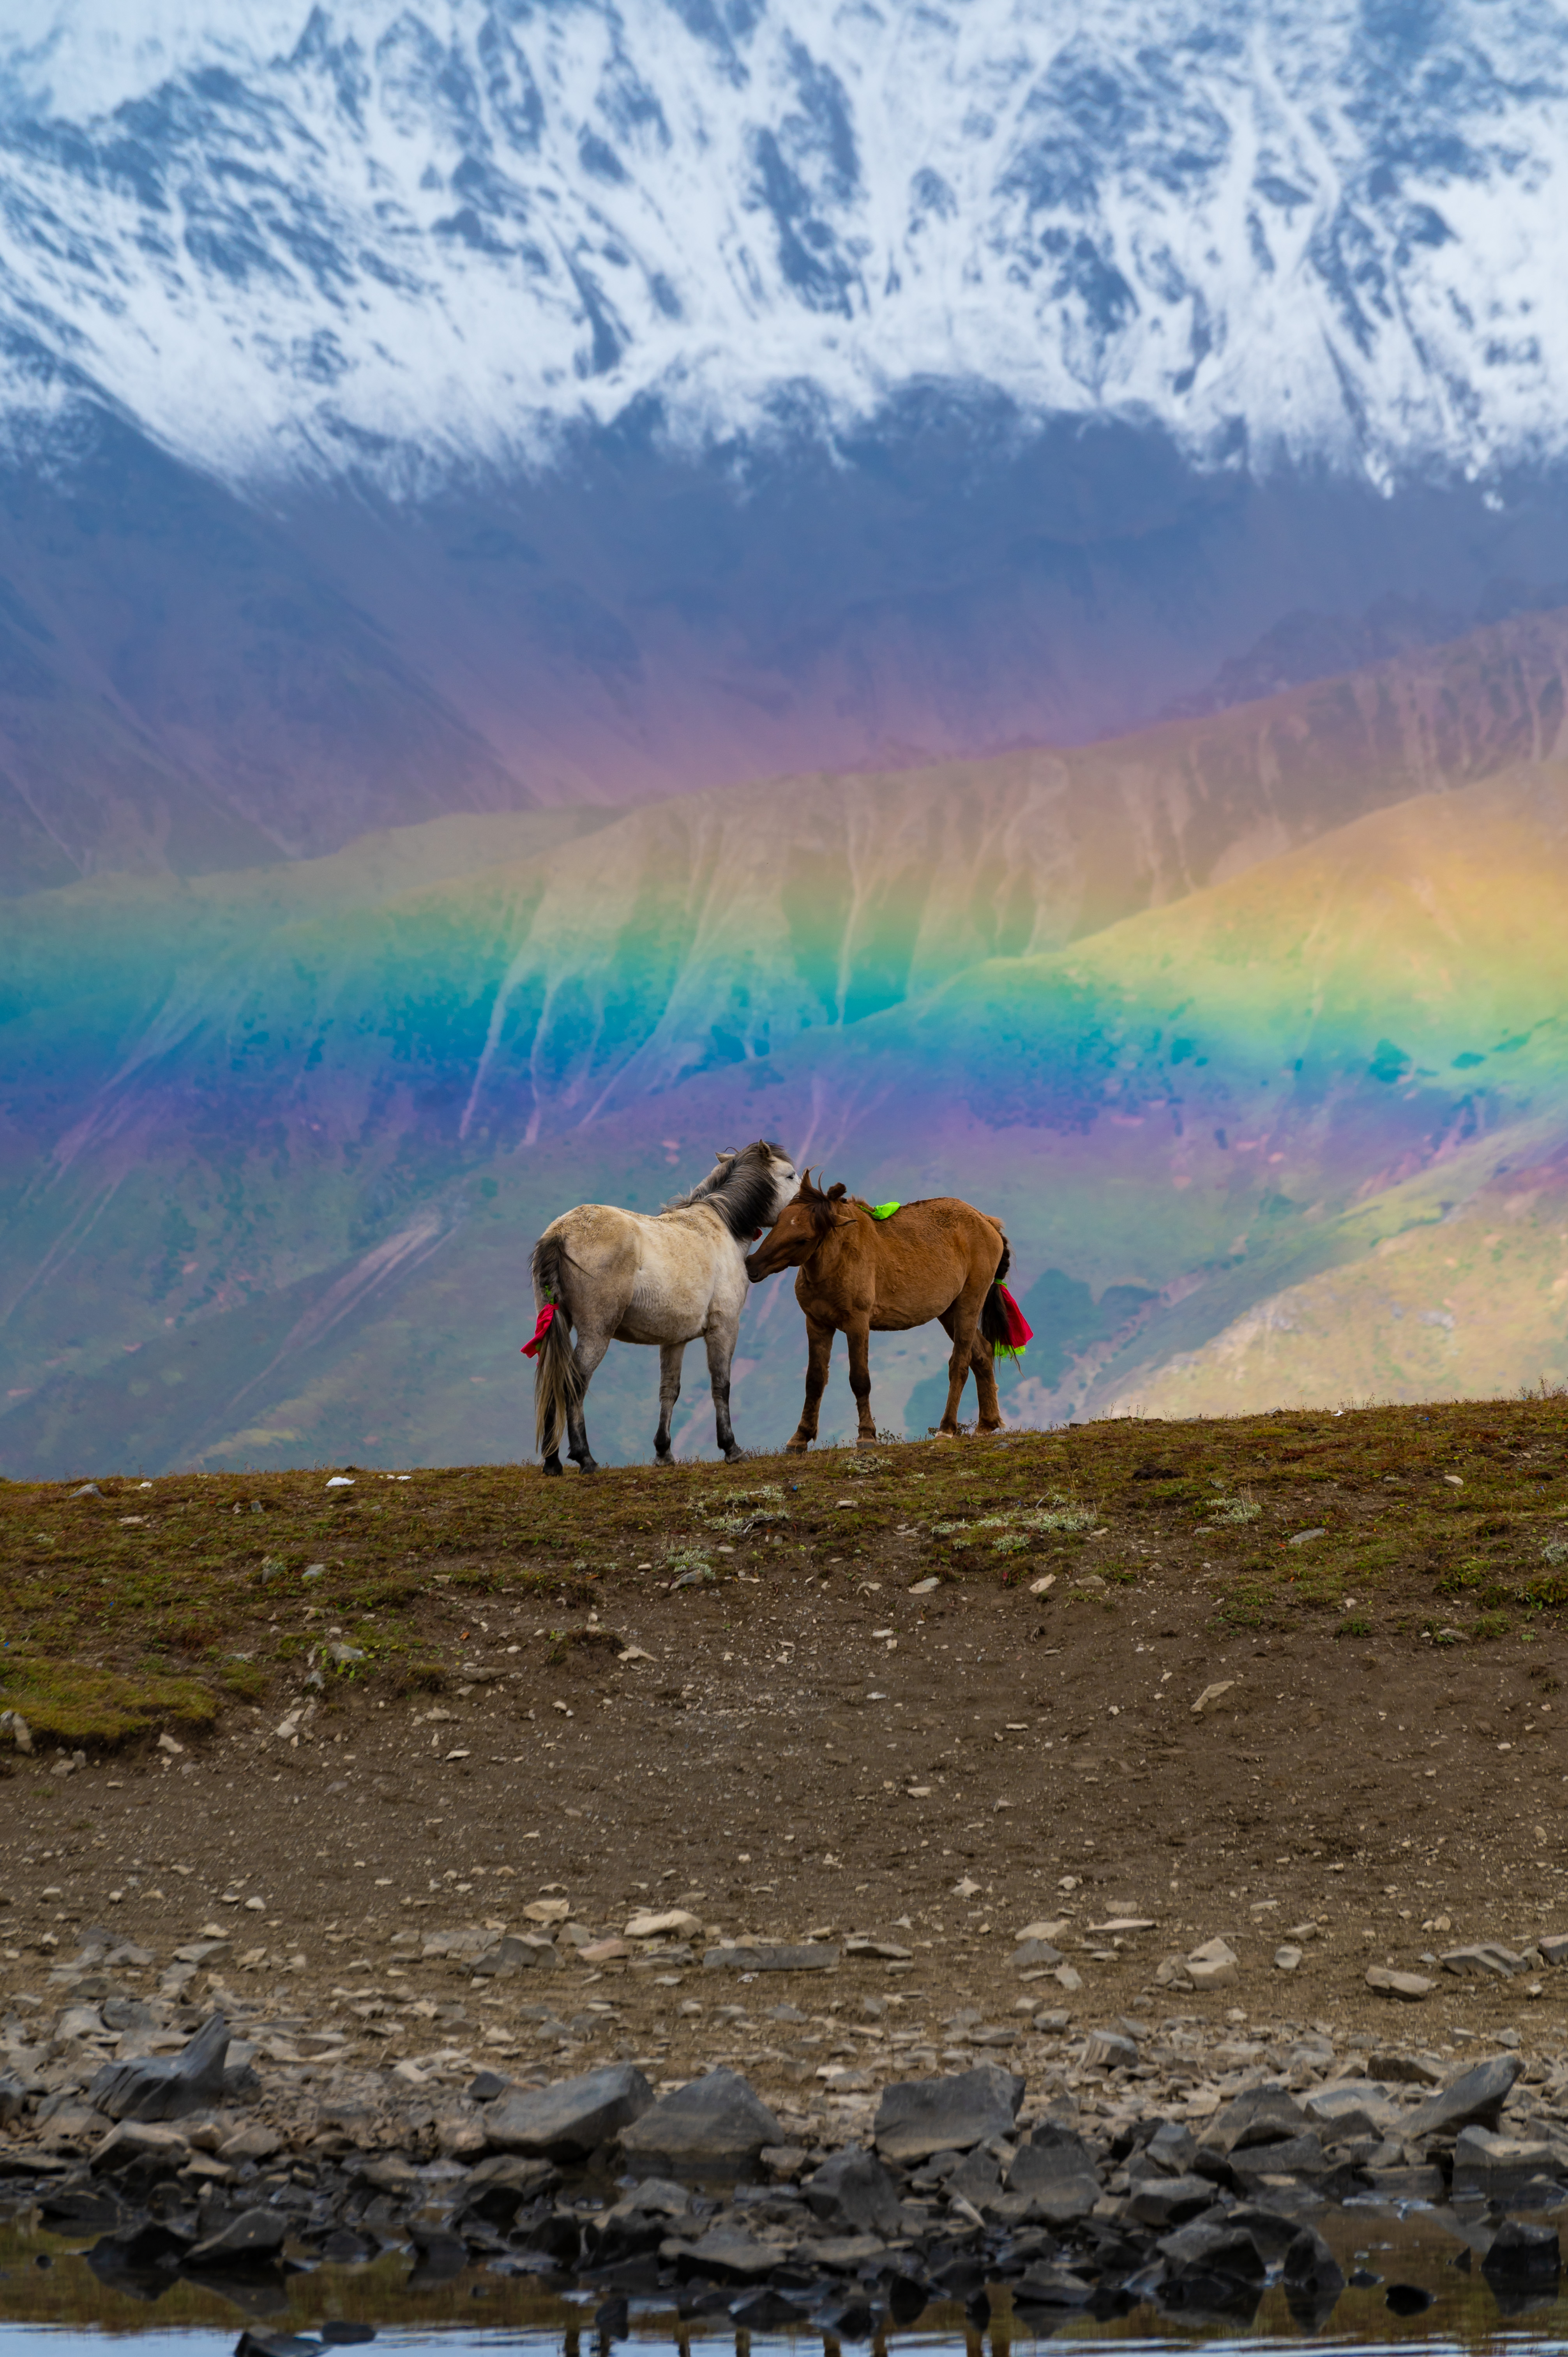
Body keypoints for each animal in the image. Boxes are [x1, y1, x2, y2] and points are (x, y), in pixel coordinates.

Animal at [528, 1141, 802, 1470]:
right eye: (790, 1175)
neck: (723, 1227)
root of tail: (560, 1233)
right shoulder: (724, 1328)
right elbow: (721, 1385)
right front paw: (731, 1448)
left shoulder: (674, 1340)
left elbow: (669, 1391)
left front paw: (663, 1453)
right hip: (596, 1333)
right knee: (575, 1383)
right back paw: (585, 1458)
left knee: (553, 1379)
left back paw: (552, 1462)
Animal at [745, 1169, 1014, 1442]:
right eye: (778, 1221)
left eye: (803, 1239)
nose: (752, 1265)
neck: (836, 1260)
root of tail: (987, 1221)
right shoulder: (817, 1323)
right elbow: (815, 1380)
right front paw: (800, 1437)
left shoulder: (857, 1323)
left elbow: (860, 1379)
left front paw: (866, 1435)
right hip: (949, 1312)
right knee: (982, 1353)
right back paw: (987, 1424)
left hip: (969, 1302)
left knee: (960, 1363)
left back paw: (947, 1428)